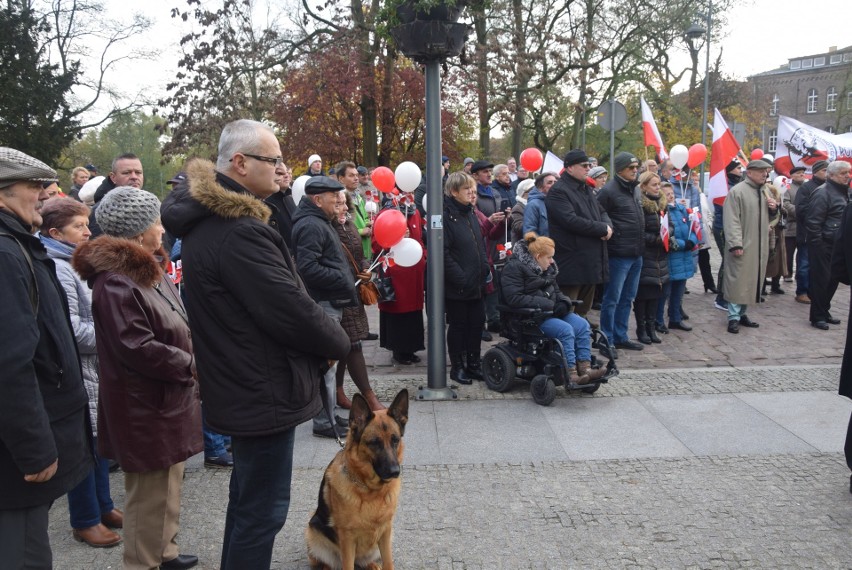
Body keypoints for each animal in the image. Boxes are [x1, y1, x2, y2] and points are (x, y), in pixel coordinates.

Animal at [306, 388, 410, 564]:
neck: (372, 491)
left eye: (395, 440)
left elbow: (388, 563)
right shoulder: (347, 540)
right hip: (313, 531)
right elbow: (347, 565)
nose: (395, 472)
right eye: (374, 443)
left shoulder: (386, 532)